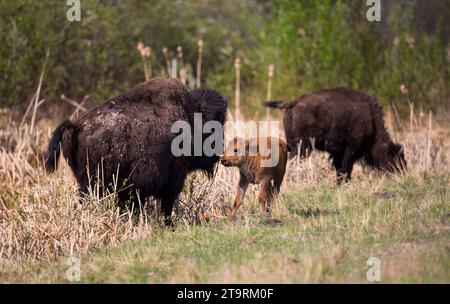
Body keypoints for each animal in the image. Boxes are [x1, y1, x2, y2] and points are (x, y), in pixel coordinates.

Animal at [45, 77, 227, 224]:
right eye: (215, 124)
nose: (219, 151)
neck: (191, 117)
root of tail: (75, 125)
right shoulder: (173, 180)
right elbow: (166, 206)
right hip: (94, 183)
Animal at [266, 88, 406, 183]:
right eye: (392, 157)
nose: (400, 174)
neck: (372, 122)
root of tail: (292, 103)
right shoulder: (351, 149)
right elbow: (345, 167)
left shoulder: (338, 152)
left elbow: (339, 167)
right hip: (302, 147)